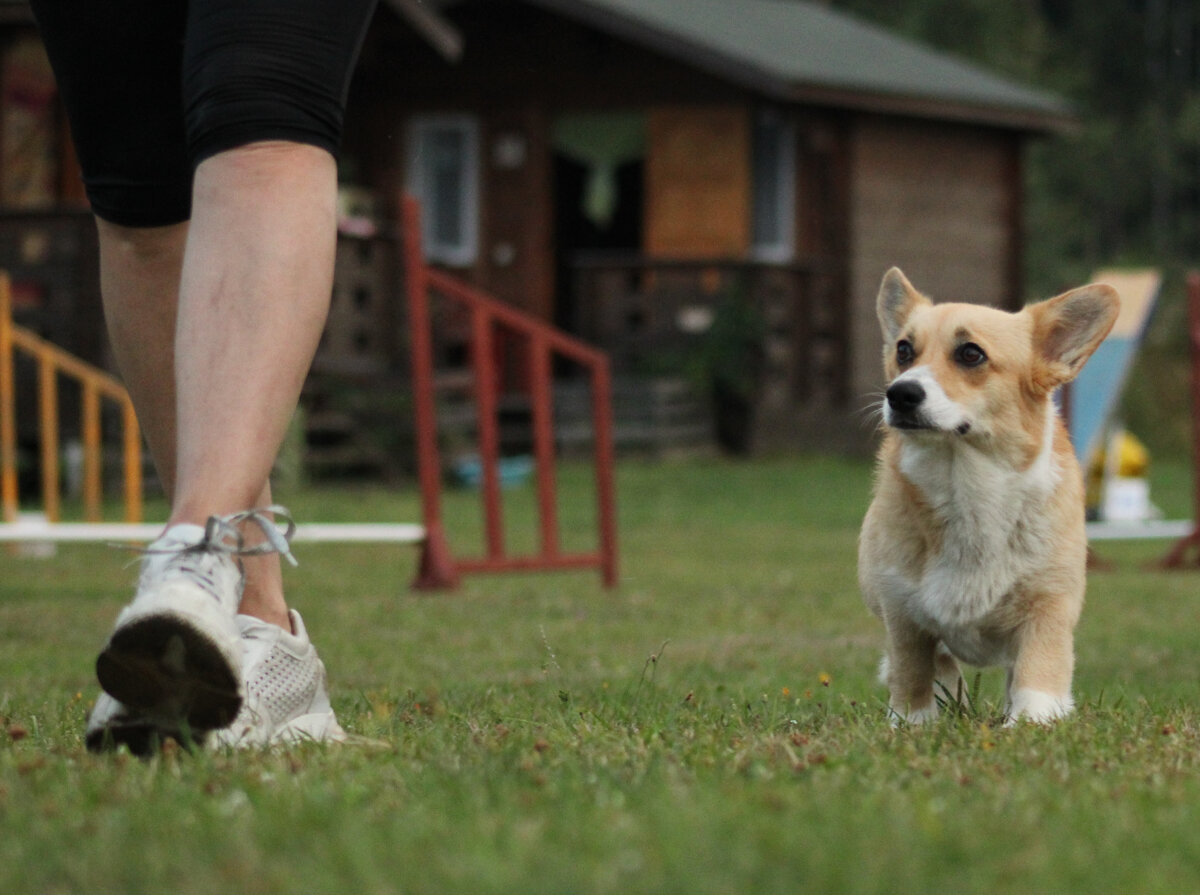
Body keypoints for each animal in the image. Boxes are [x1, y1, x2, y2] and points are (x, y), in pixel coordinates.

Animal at [859, 268, 1118, 719]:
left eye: (970, 354)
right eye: (904, 350)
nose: (900, 394)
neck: (966, 486)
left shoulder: (1048, 605)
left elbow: (1038, 671)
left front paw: (1033, 721)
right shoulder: (902, 612)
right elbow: (911, 672)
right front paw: (912, 722)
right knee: (940, 664)